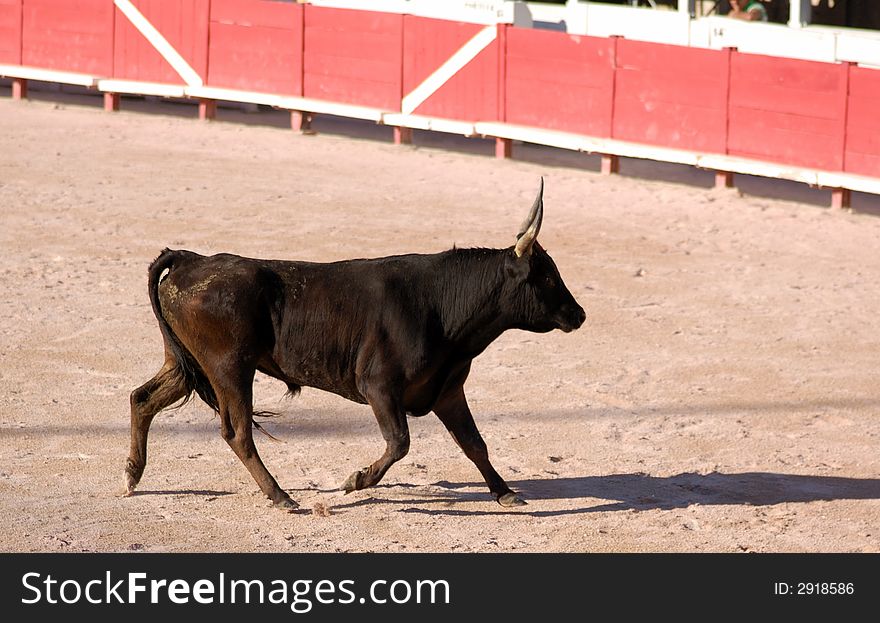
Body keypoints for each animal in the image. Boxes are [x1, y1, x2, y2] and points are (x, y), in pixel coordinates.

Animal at [124, 182, 584, 512]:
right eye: (546, 277)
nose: (578, 314)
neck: (443, 306)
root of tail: (192, 260)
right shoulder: (378, 387)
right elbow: (399, 441)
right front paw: (356, 481)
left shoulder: (448, 390)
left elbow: (475, 443)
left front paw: (505, 492)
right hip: (229, 367)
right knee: (237, 432)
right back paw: (280, 496)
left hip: (186, 363)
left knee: (142, 398)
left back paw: (132, 475)